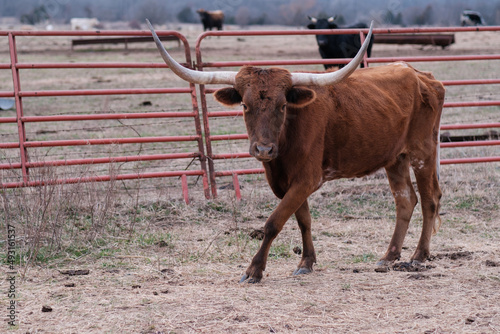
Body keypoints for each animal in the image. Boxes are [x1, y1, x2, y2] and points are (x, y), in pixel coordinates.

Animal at [146, 20, 448, 282]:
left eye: (282, 105)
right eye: (244, 105)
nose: (263, 148)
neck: (284, 145)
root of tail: (423, 76)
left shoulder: (306, 179)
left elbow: (273, 222)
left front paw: (254, 270)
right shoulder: (285, 182)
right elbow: (303, 220)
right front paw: (306, 262)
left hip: (422, 153)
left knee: (430, 199)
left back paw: (418, 256)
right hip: (395, 158)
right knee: (405, 200)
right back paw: (389, 257)